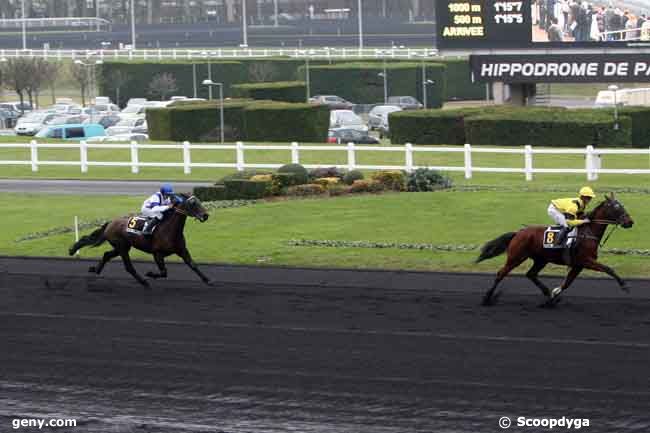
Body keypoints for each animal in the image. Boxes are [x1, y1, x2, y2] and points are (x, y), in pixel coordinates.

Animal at [68, 193, 211, 286]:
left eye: (199, 201)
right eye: (193, 203)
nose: (205, 215)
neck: (169, 230)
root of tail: (110, 223)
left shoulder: (181, 250)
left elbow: (193, 265)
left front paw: (208, 280)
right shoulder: (157, 253)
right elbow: (164, 272)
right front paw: (150, 274)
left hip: (121, 246)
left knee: (106, 255)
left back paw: (95, 270)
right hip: (121, 247)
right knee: (128, 267)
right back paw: (143, 281)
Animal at [474, 194, 632, 306]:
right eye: (617, 207)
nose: (630, 222)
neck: (588, 232)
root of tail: (518, 232)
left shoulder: (578, 265)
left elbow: (567, 283)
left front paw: (554, 296)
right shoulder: (586, 261)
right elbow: (608, 269)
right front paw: (624, 286)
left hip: (540, 260)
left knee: (531, 274)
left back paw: (547, 293)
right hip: (516, 257)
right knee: (501, 273)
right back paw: (487, 298)